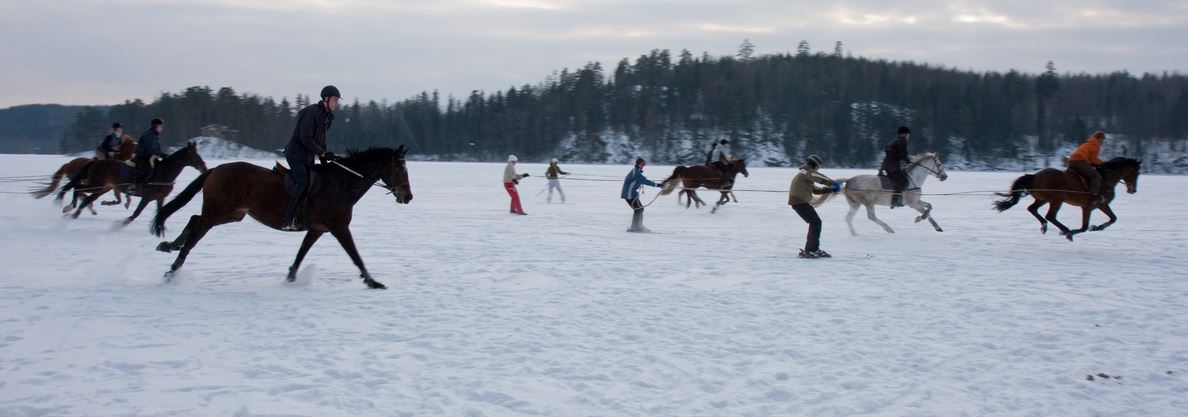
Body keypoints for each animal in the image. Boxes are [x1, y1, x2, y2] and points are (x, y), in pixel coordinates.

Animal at [55, 141, 209, 223]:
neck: (164, 173)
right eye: (193, 154)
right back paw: (69, 207)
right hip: (96, 184)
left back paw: (74, 213)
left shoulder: (160, 198)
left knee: (86, 197)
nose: (204, 167)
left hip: (102, 188)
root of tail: (95, 162)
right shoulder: (147, 197)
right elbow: (136, 212)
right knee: (78, 187)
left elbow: (159, 212)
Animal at [150, 145, 415, 288]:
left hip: (231, 214)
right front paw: (373, 282)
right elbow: (355, 255)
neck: (342, 183)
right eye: (399, 167)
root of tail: (216, 170)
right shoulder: (339, 227)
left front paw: (290, 278)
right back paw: (172, 269)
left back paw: (168, 246)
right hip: (218, 212)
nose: (408, 197)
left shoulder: (317, 229)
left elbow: (301, 253)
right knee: (196, 233)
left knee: (195, 219)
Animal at [822, 153, 950, 235]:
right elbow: (929, 207)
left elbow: (928, 211)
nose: (945, 176)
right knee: (871, 216)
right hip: (868, 202)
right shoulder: (913, 203)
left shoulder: (915, 203)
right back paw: (889, 229)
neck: (913, 179)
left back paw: (855, 234)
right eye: (939, 164)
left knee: (849, 218)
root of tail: (849, 180)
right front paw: (919, 219)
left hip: (855, 204)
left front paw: (936, 227)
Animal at [993, 155, 1140, 242]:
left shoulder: (1101, 205)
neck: (1106, 179)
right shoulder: (1088, 207)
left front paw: (1096, 227)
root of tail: (1034, 176)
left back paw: (1045, 226)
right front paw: (1072, 233)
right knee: (1050, 216)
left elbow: (1113, 218)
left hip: (1043, 199)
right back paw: (1065, 230)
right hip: (1056, 200)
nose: (1133, 190)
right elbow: (1084, 227)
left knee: (1032, 209)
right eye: (1136, 172)